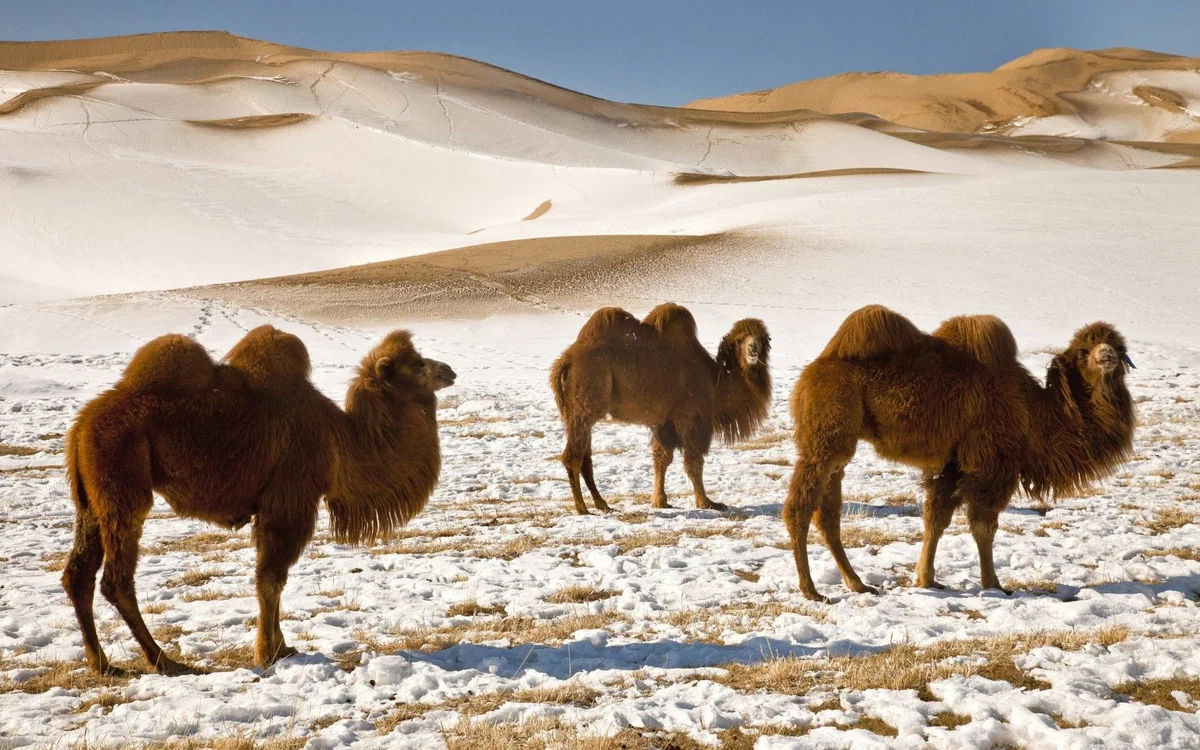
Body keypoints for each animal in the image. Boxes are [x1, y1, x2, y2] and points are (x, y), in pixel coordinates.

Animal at [62, 326, 453, 672]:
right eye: (417, 364)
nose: (449, 371)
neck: (341, 439)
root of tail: (81, 424)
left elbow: (274, 578)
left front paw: (283, 646)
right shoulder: (290, 500)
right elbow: (271, 578)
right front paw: (268, 653)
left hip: (90, 500)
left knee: (78, 573)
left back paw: (103, 664)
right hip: (123, 484)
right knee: (116, 579)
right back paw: (164, 661)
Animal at [549, 304, 772, 513]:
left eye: (762, 338)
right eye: (739, 341)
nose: (753, 348)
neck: (714, 381)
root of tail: (566, 362)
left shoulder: (666, 422)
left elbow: (662, 458)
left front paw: (660, 501)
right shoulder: (690, 416)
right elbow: (694, 461)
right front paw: (707, 502)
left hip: (573, 412)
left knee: (585, 457)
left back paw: (602, 504)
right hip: (586, 401)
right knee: (573, 456)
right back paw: (581, 507)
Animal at [787, 304, 1132, 602]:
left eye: (1118, 346)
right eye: (1083, 351)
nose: (1107, 355)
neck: (1032, 411)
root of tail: (810, 375)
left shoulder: (953, 462)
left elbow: (936, 517)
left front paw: (926, 579)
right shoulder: (991, 461)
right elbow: (984, 525)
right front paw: (994, 584)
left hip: (837, 444)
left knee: (827, 513)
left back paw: (857, 584)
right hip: (827, 435)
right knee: (799, 509)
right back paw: (811, 590)